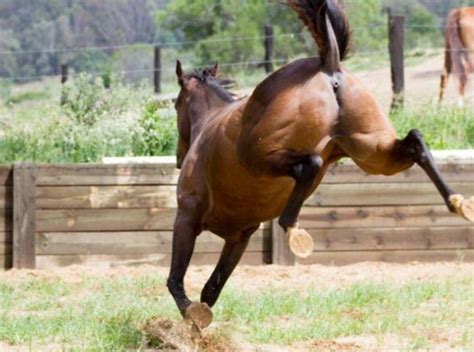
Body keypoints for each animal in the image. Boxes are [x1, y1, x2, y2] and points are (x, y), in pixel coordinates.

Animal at [168, 0, 474, 330]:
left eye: (176, 104)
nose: (179, 157)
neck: (210, 123)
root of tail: (329, 67)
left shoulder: (188, 216)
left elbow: (177, 282)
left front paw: (190, 316)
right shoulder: (240, 236)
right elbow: (210, 291)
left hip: (259, 156)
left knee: (310, 164)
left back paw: (293, 229)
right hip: (372, 152)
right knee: (416, 142)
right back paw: (459, 202)